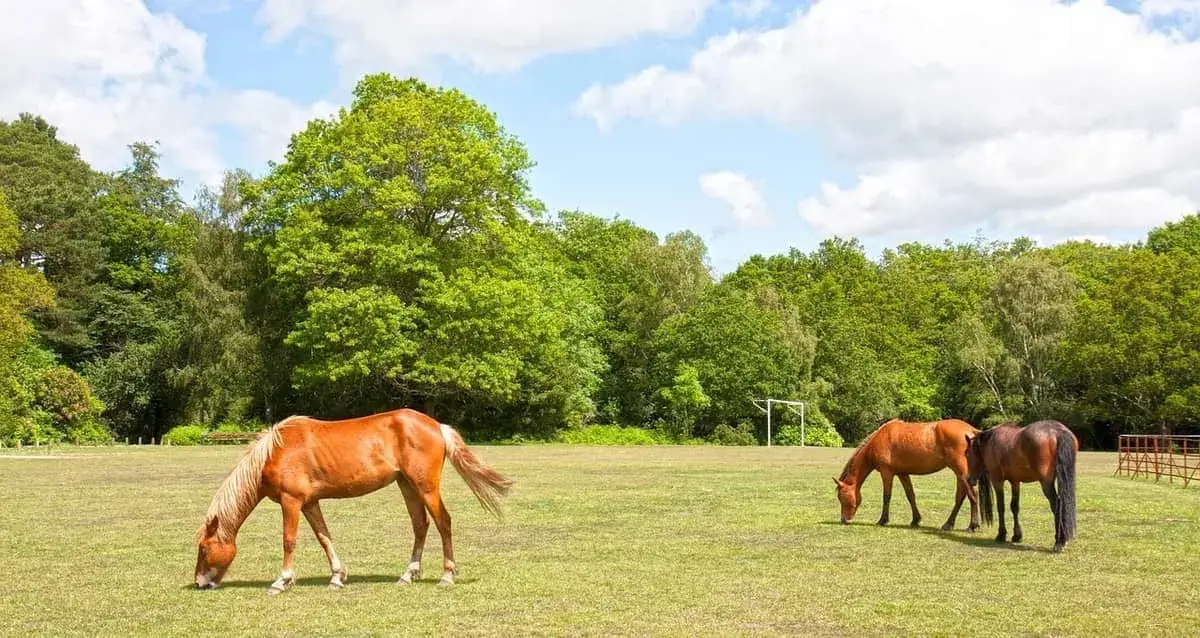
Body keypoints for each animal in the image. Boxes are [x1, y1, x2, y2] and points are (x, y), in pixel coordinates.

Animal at [193, 408, 514, 594]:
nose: (200, 582)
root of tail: (436, 426)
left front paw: (281, 581)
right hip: (407, 485)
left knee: (442, 522)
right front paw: (337, 577)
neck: (276, 451)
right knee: (420, 525)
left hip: (425, 487)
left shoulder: (291, 501)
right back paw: (407, 575)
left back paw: (447, 576)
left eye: (204, 548)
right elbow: (324, 537)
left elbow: (289, 540)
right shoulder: (309, 503)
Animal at [833, 418, 981, 531]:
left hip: (961, 471)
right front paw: (915, 520)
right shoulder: (902, 474)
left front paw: (883, 520)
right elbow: (910, 495)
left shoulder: (887, 473)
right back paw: (948, 524)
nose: (844, 520)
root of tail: (971, 430)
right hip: (959, 473)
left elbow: (886, 497)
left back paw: (972, 526)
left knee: (972, 495)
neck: (879, 439)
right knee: (960, 497)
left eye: (841, 497)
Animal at [965, 419, 1078, 552]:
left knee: (1057, 505)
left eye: (967, 454)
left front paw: (1001, 534)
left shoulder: (997, 480)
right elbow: (1014, 507)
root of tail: (1057, 431)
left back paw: (1059, 541)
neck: (991, 441)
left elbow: (1001, 506)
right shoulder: (1015, 482)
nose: (969, 479)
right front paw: (1017, 535)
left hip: (1046, 483)